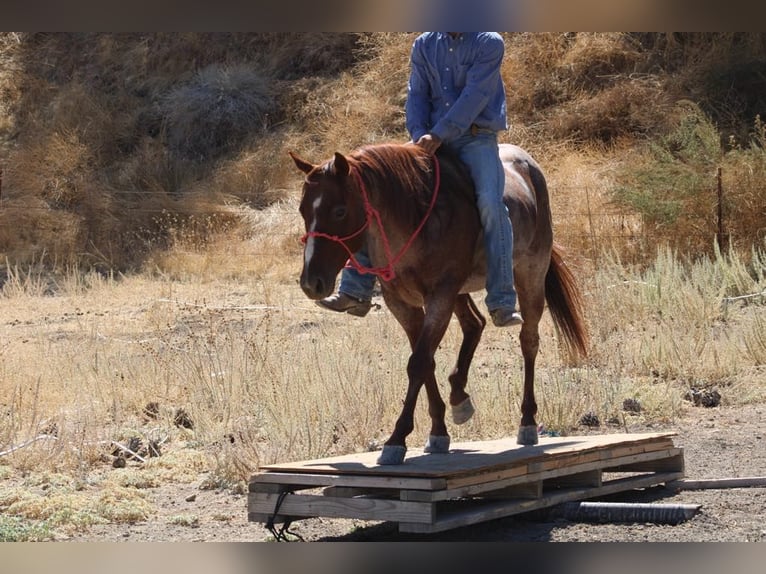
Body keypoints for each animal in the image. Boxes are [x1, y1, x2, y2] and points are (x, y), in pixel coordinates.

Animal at [290, 142, 588, 465]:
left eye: (340, 211)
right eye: (303, 210)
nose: (311, 283)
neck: (414, 219)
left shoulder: (440, 295)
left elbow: (418, 362)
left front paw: (397, 439)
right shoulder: (402, 304)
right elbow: (426, 361)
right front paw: (438, 432)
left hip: (530, 274)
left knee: (528, 341)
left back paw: (528, 422)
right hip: (461, 291)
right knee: (474, 324)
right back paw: (459, 396)